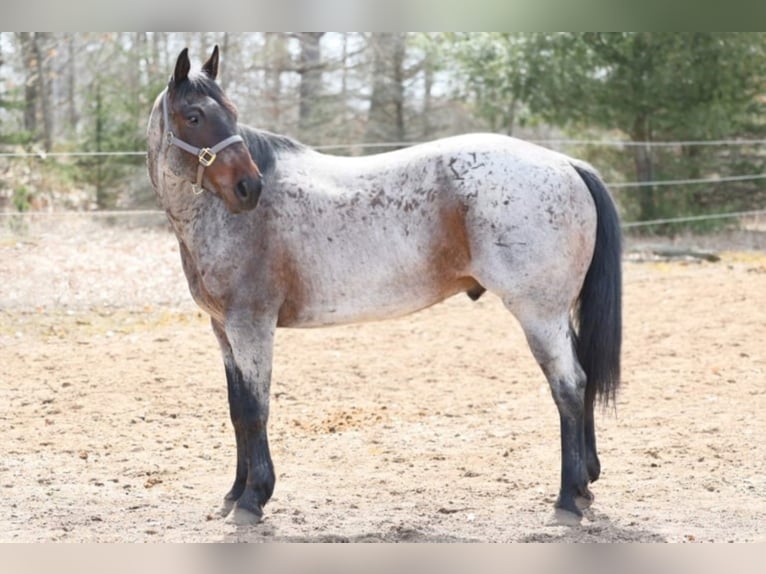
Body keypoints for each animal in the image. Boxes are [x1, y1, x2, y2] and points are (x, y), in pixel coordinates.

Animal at [146, 47, 624, 528]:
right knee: (580, 378)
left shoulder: (252, 326)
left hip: (538, 314)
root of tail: (567, 165)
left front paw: (252, 499)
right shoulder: (224, 330)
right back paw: (584, 486)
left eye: (230, 113)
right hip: (554, 314)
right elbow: (236, 408)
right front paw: (234, 493)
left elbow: (254, 409)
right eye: (193, 116)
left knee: (568, 385)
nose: (250, 187)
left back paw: (566, 500)